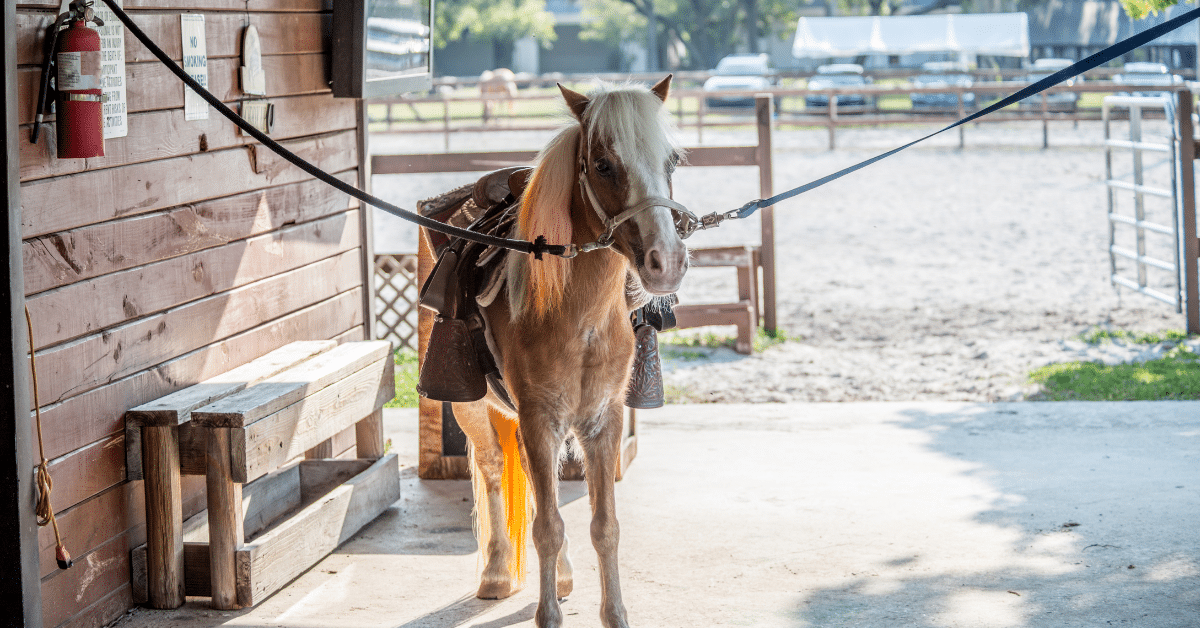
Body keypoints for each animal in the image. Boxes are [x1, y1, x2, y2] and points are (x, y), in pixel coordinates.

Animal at [439, 78, 686, 628]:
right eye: (604, 164)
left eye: (672, 161)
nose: (667, 260)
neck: (579, 316)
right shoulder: (538, 416)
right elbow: (548, 527)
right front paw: (547, 614)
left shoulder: (601, 421)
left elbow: (604, 525)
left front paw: (614, 613)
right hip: (474, 406)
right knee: (493, 466)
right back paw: (495, 573)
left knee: (536, 480)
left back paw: (565, 576)